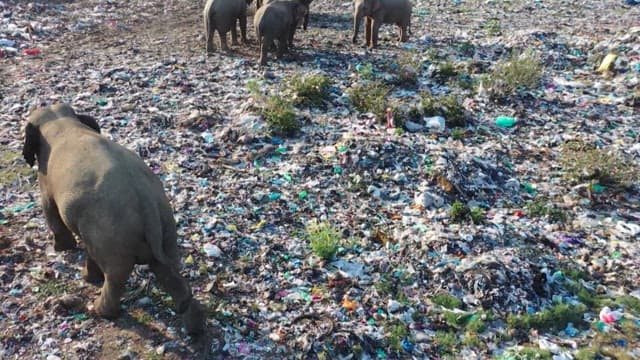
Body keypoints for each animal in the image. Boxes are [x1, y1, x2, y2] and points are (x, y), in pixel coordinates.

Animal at [21, 104, 205, 338]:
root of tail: (147, 204)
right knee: (168, 269)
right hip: (164, 228)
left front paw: (62, 249)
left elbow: (50, 210)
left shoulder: (46, 179)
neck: (62, 121)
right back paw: (193, 325)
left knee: (116, 276)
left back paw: (99, 310)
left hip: (113, 235)